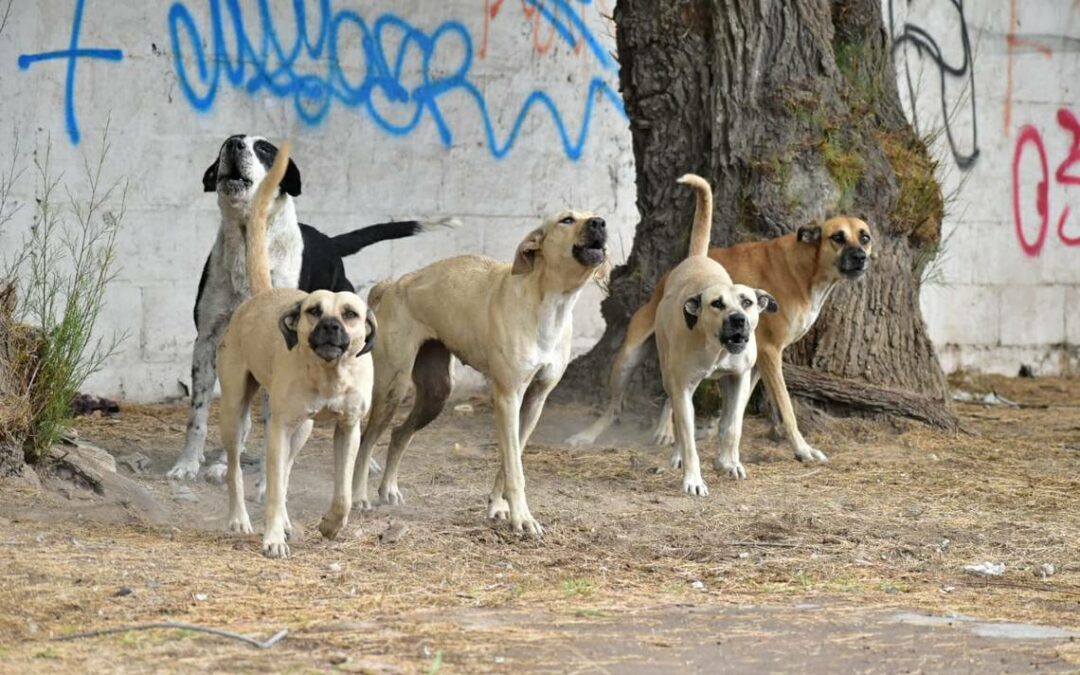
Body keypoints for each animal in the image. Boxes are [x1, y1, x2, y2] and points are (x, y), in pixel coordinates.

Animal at [164, 134, 442, 479]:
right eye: (227, 142)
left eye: (264, 149)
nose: (234, 145)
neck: (248, 244)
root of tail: (331, 242)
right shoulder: (207, 340)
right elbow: (198, 413)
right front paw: (188, 463)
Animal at [212, 142, 378, 557]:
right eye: (313, 310)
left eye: (351, 314)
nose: (330, 327)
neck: (328, 373)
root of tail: (263, 293)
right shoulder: (278, 428)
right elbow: (271, 490)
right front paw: (272, 538)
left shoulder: (348, 429)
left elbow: (342, 493)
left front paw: (332, 525)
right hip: (237, 413)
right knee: (237, 470)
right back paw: (240, 520)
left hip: (302, 429)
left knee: (285, 474)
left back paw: (287, 521)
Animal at [352, 210, 609, 537]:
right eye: (567, 219)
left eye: (595, 216)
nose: (600, 222)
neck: (550, 303)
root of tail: (395, 283)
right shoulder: (508, 398)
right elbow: (514, 469)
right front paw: (523, 517)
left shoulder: (534, 402)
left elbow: (510, 461)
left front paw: (499, 508)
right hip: (391, 388)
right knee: (366, 440)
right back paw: (358, 496)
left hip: (436, 394)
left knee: (399, 433)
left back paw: (389, 489)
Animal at [565, 192, 868, 462]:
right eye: (837, 237)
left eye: (864, 237)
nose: (861, 257)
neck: (806, 267)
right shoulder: (771, 353)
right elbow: (786, 407)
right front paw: (803, 450)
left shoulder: (753, 362)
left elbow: (739, 405)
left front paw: (719, 437)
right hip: (629, 357)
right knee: (616, 406)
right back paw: (590, 435)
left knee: (672, 392)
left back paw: (667, 430)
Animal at [648, 173, 777, 490]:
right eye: (717, 304)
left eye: (747, 302)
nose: (738, 320)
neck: (716, 349)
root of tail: (696, 258)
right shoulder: (682, 386)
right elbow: (688, 436)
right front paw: (694, 479)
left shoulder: (739, 378)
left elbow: (732, 425)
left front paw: (728, 463)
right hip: (669, 372)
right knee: (677, 417)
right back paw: (677, 456)